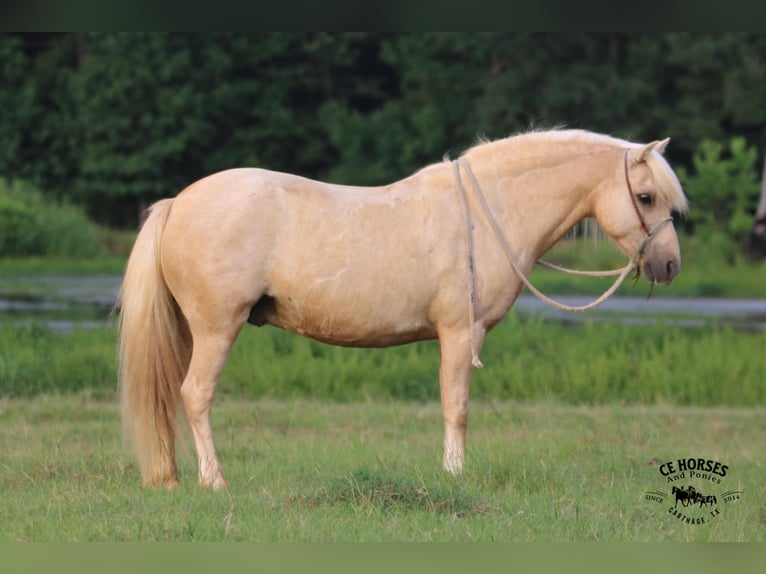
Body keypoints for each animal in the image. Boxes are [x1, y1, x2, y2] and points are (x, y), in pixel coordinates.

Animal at [118, 128, 688, 489]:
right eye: (646, 196)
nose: (669, 265)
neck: (487, 213)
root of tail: (178, 202)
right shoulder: (459, 334)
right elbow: (456, 406)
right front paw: (455, 476)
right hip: (217, 328)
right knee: (196, 395)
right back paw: (214, 481)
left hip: (191, 330)